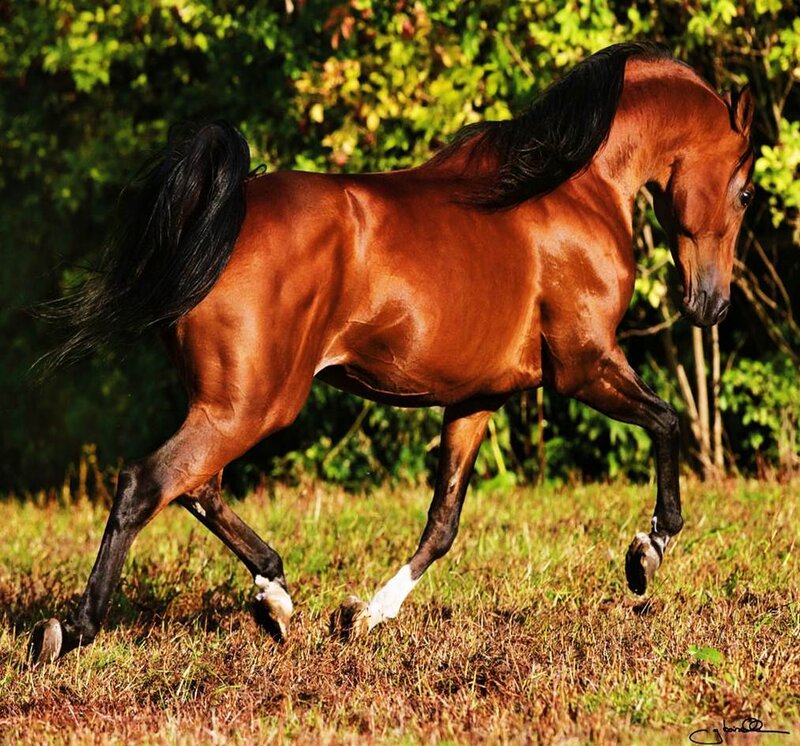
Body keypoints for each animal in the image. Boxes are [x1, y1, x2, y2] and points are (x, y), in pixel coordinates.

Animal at [30, 41, 754, 663]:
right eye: (746, 190)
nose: (713, 306)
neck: (575, 188)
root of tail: (221, 215)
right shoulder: (585, 366)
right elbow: (668, 421)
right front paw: (646, 554)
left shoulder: (477, 399)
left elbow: (443, 523)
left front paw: (363, 616)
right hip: (253, 405)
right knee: (147, 483)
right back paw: (71, 631)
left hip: (228, 402)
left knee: (197, 486)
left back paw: (276, 599)